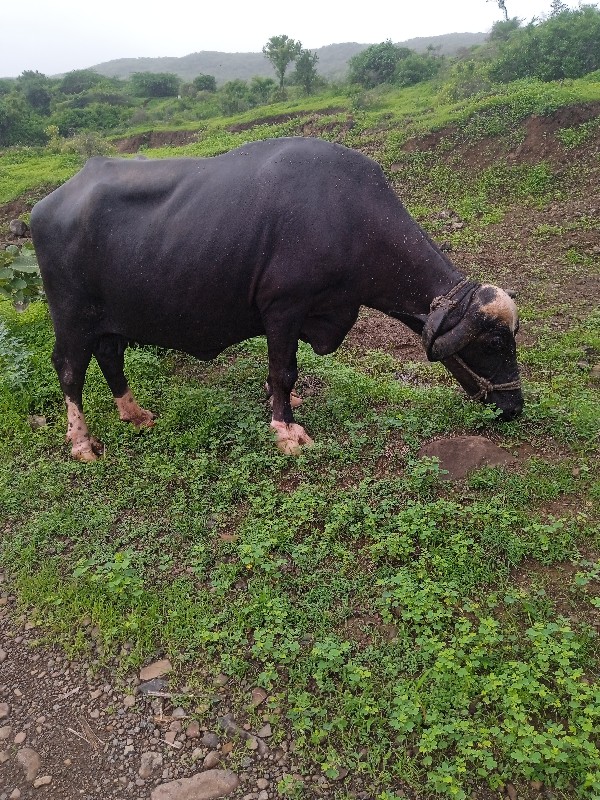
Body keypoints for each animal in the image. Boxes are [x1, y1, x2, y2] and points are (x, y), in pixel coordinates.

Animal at [30, 141, 524, 460]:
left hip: (109, 318)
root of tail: (45, 206)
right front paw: (286, 429)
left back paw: (133, 413)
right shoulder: (284, 309)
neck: (347, 217)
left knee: (110, 354)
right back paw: (82, 442)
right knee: (69, 369)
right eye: (496, 343)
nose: (515, 407)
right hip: (71, 316)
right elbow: (283, 371)